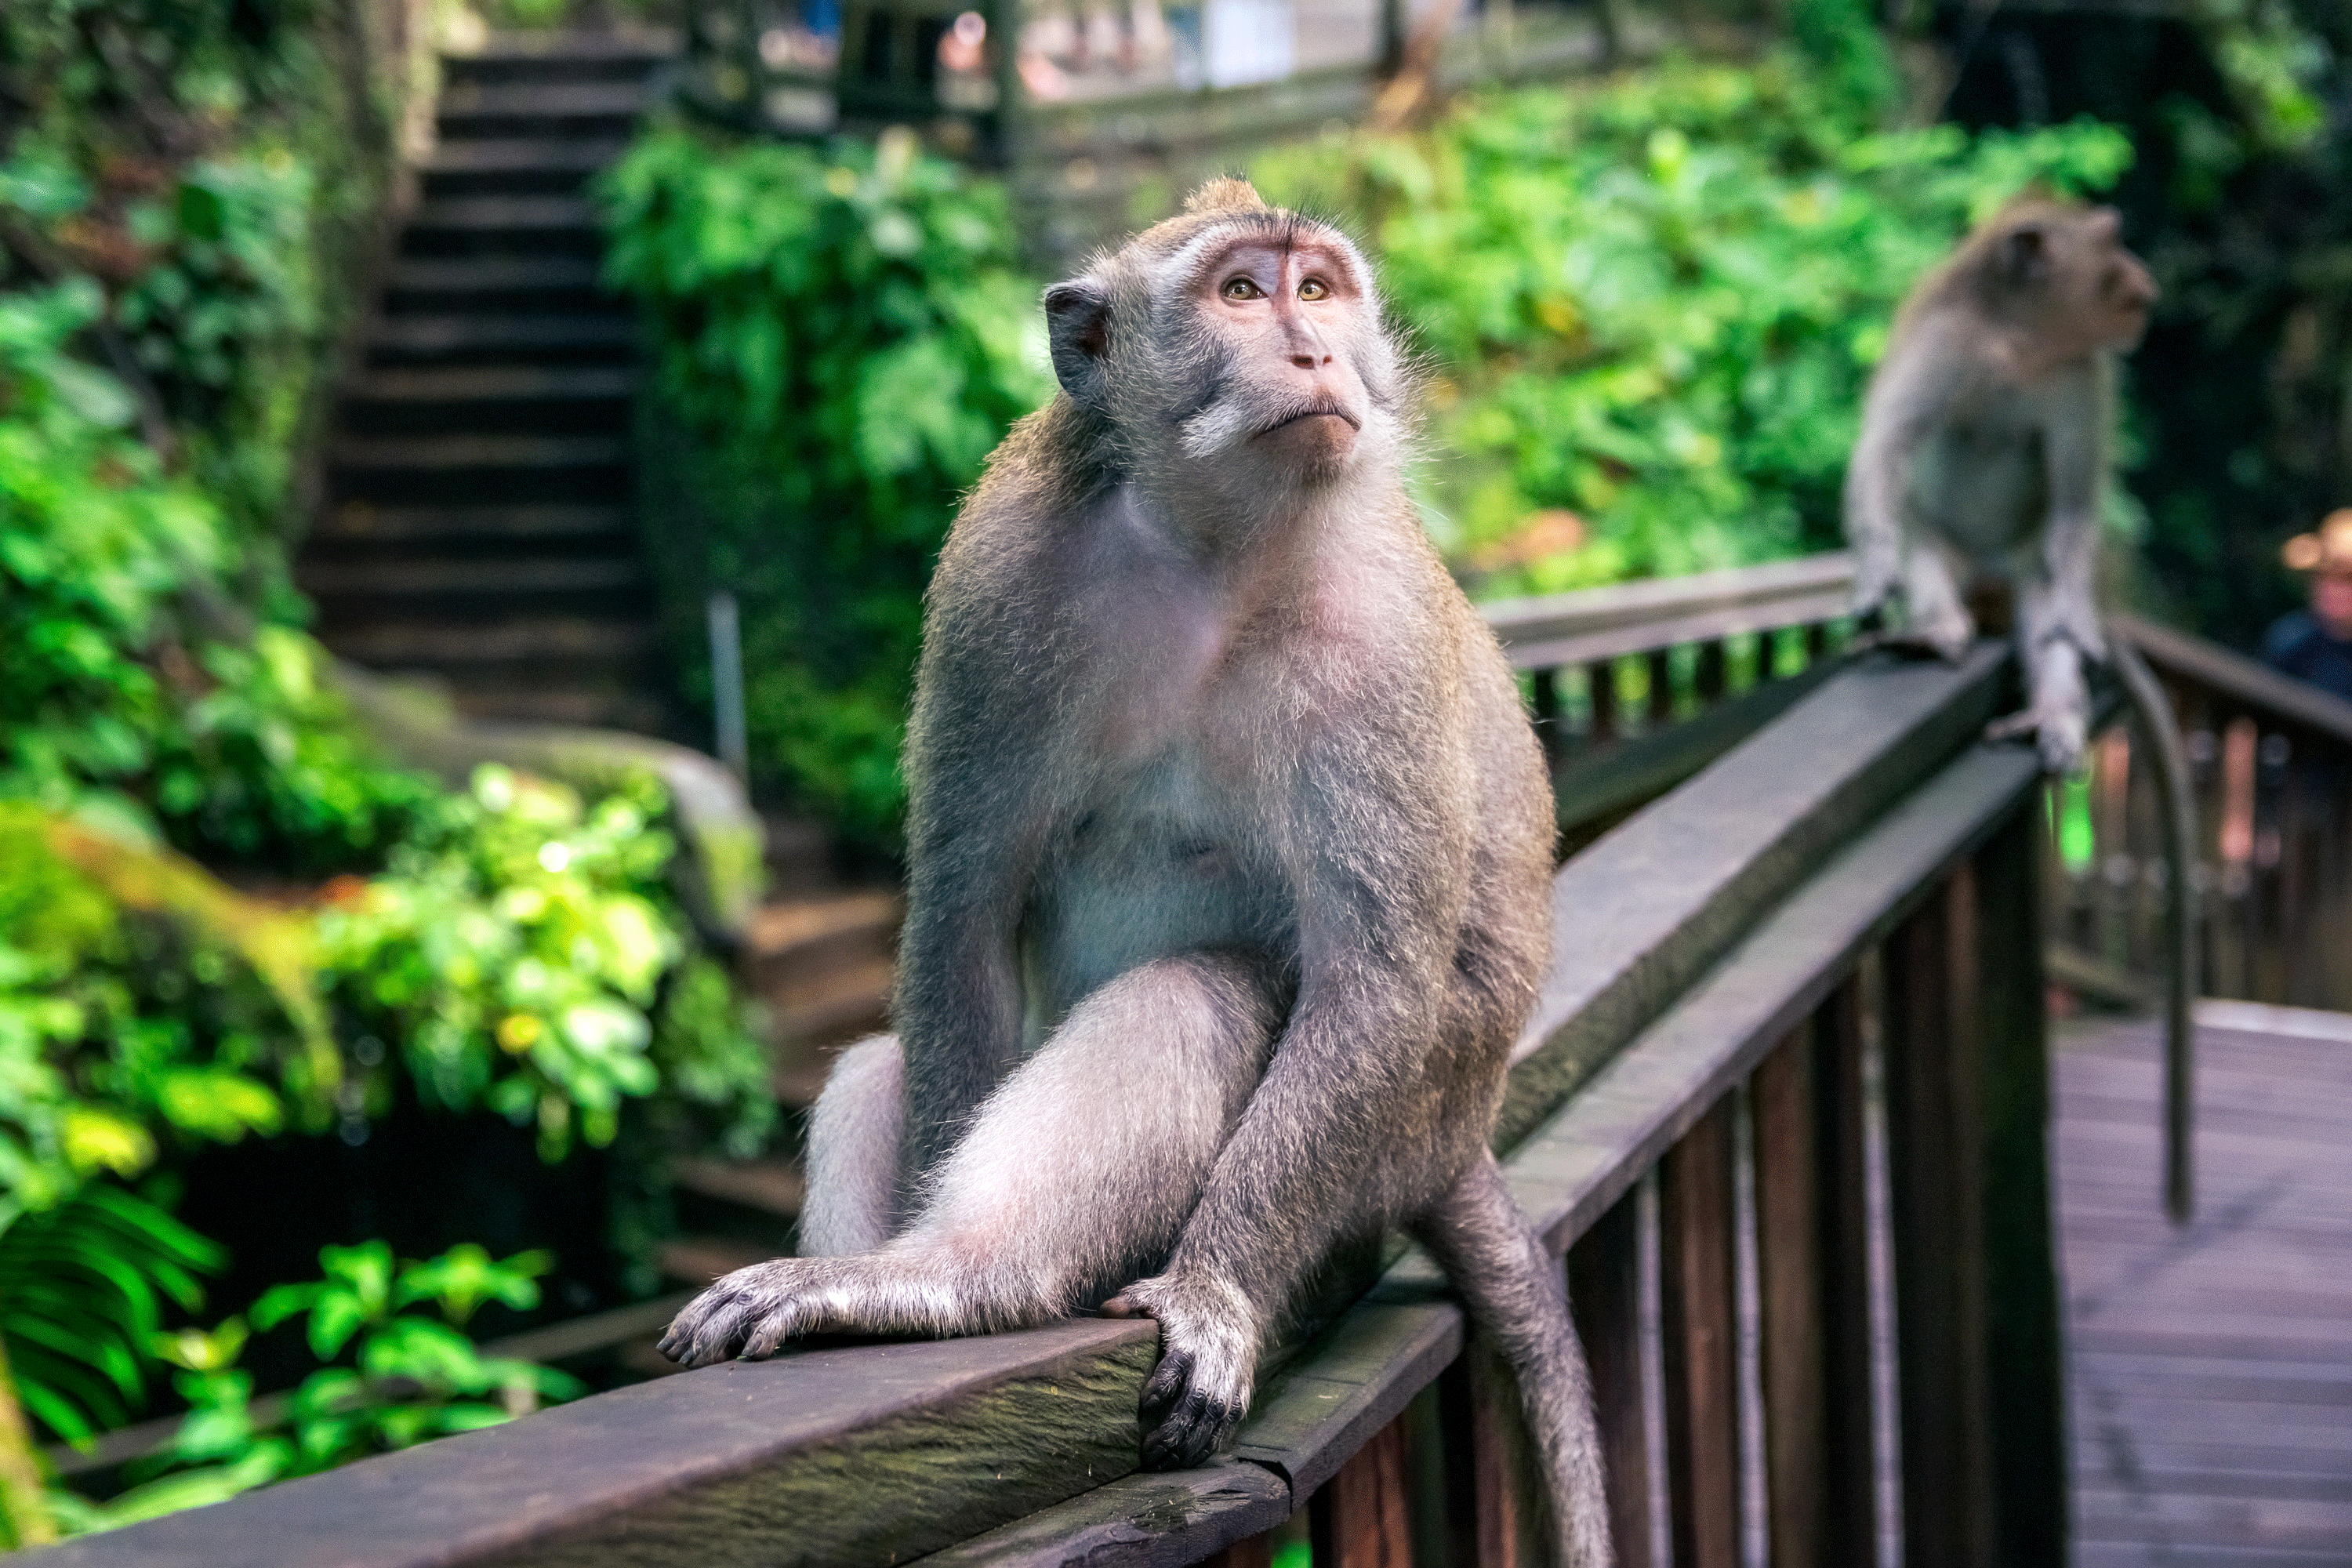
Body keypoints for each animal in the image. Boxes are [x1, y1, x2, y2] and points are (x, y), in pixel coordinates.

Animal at [658, 179, 1614, 1563]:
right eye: (1242, 293)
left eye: (1318, 289)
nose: (1315, 353)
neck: (1213, 549)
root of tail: (1459, 1138)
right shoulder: (999, 574)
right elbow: (963, 909)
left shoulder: (1374, 638)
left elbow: (1374, 982)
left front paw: (1215, 1286)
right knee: (881, 1064)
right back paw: (900, 1268)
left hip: (1389, 1140)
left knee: (1206, 993)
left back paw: (962, 1278)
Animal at [1845, 197, 2201, 1220]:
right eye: (2112, 243)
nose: (2144, 282)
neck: (2020, 344)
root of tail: (1989, 577)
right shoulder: (1941, 340)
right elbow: (1884, 453)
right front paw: (1876, 574)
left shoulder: (2082, 384)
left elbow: (2077, 511)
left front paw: (2076, 626)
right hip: (1959, 554)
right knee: (1924, 535)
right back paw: (1935, 628)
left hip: (2021, 561)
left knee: (2044, 583)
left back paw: (2054, 706)